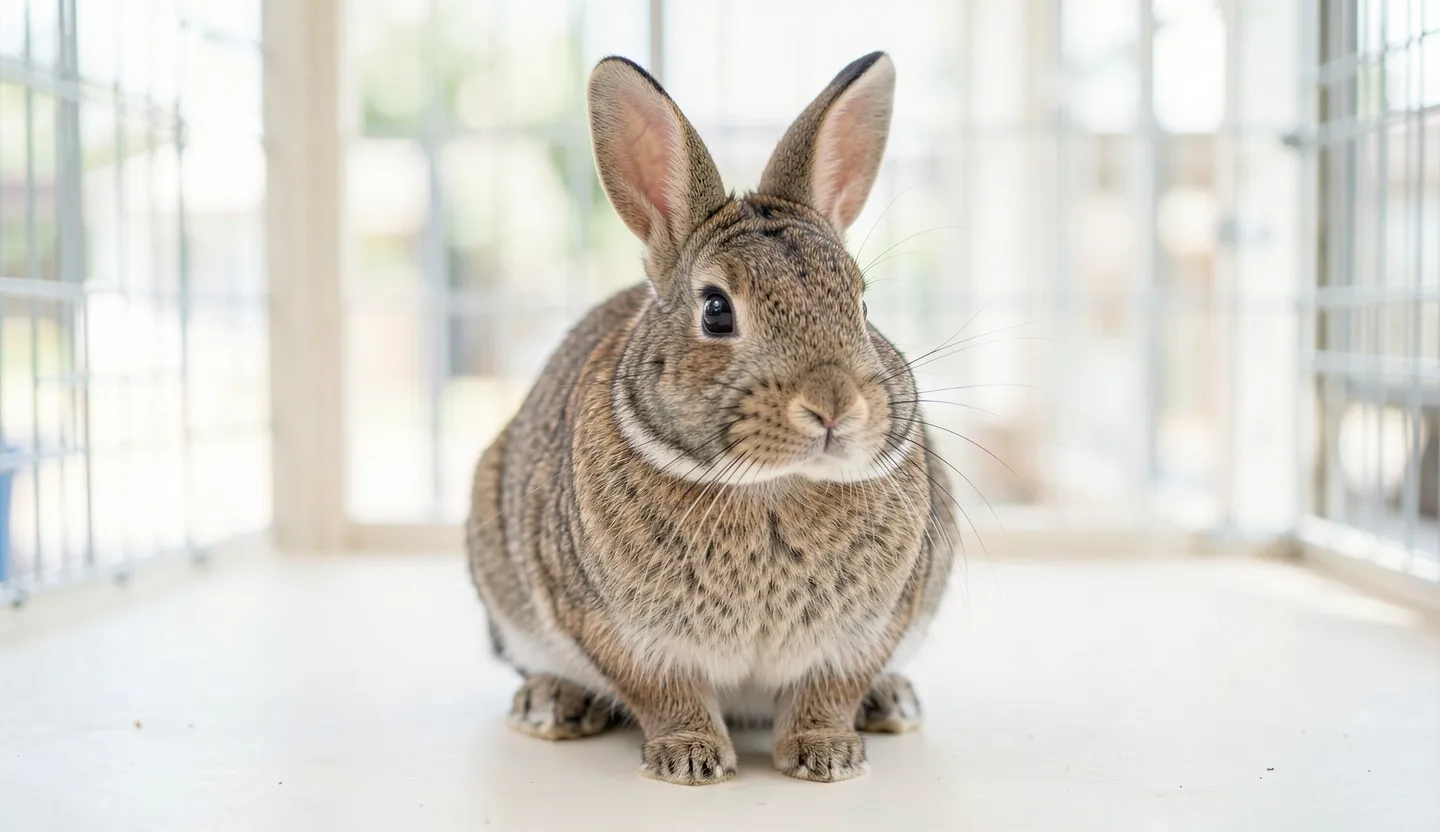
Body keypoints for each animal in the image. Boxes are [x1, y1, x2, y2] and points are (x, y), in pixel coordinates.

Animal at [467, 51, 957, 785]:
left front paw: (827, 755)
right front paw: (690, 759)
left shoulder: (872, 627)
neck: (772, 486)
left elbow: (828, 692)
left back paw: (890, 702)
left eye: (862, 304)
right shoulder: (616, 630)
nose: (834, 404)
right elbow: (666, 695)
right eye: (717, 310)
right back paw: (552, 705)